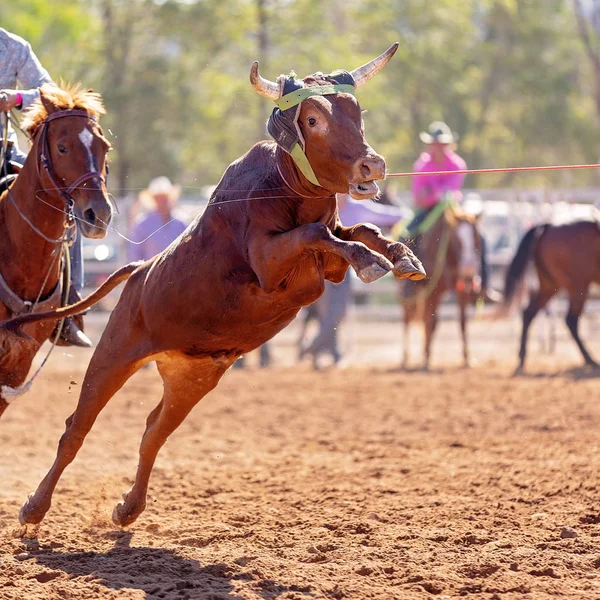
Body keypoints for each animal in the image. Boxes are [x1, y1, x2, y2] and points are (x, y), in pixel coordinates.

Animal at [400, 204, 486, 368]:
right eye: (457, 238)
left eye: (476, 236)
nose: (469, 267)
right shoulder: (432, 291)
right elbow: (430, 322)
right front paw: (426, 360)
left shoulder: (463, 291)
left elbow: (462, 321)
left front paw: (467, 359)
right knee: (407, 319)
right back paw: (406, 359)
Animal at [502, 220, 600, 370]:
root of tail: (547, 227)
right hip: (577, 286)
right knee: (571, 321)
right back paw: (590, 359)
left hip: (549, 285)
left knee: (529, 313)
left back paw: (522, 358)